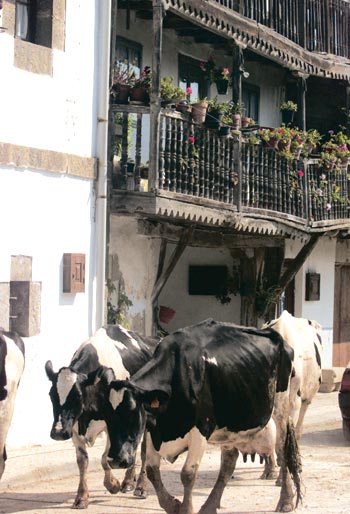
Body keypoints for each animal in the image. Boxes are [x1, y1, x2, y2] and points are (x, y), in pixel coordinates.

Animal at [45, 324, 159, 508]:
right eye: (51, 395)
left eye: (78, 396)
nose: (58, 432)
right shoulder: (74, 426)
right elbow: (82, 461)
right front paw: (82, 497)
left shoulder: (111, 425)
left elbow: (105, 458)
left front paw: (112, 485)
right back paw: (128, 482)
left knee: (144, 451)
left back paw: (141, 487)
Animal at [97, 316, 302, 512]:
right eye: (106, 417)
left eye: (133, 412)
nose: (115, 459)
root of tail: (273, 334)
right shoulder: (153, 429)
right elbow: (152, 469)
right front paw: (172, 505)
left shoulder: (201, 428)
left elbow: (188, 474)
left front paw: (185, 508)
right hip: (230, 426)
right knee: (228, 463)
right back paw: (210, 505)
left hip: (281, 407)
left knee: (282, 451)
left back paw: (286, 501)